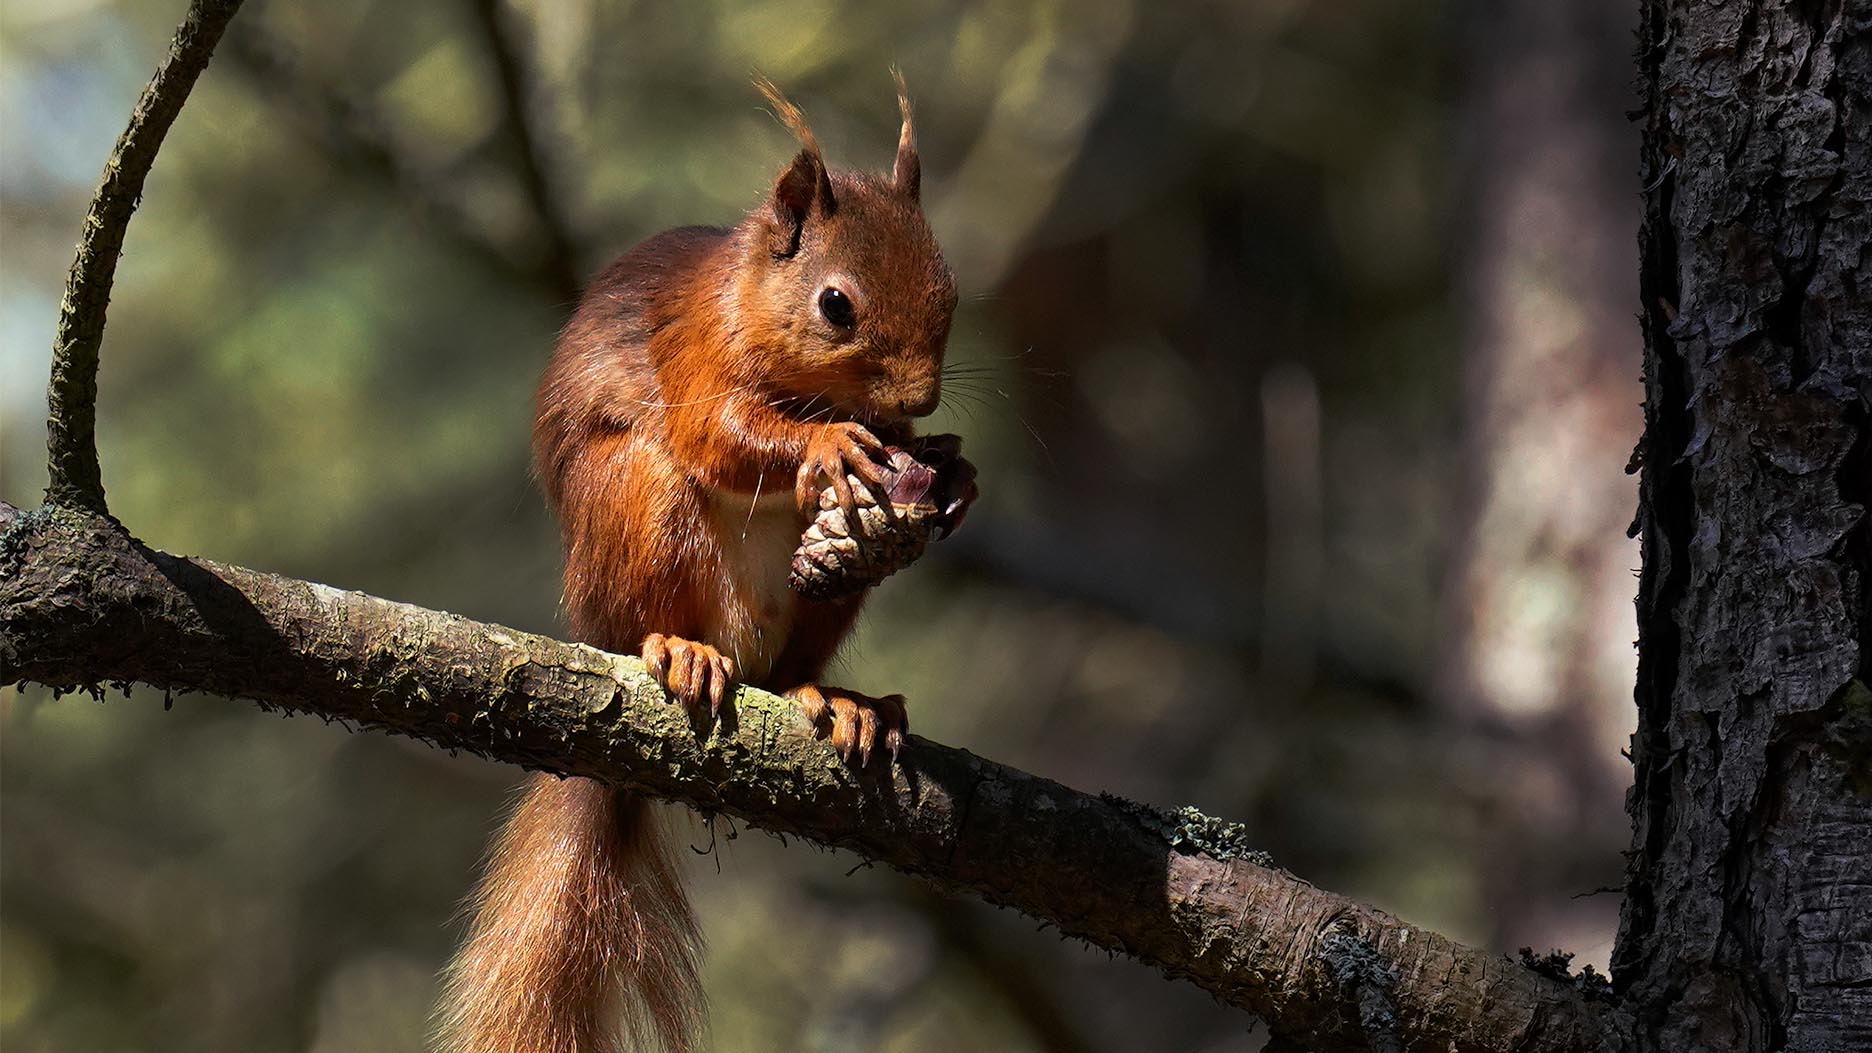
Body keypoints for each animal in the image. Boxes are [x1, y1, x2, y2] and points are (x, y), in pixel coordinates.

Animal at [434, 80, 965, 1049]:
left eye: (952, 291)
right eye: (836, 304)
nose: (920, 400)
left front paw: (955, 468)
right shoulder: (693, 353)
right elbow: (721, 434)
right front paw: (827, 445)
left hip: (821, 602)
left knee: (793, 669)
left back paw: (838, 699)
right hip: (639, 510)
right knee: (652, 606)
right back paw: (680, 650)